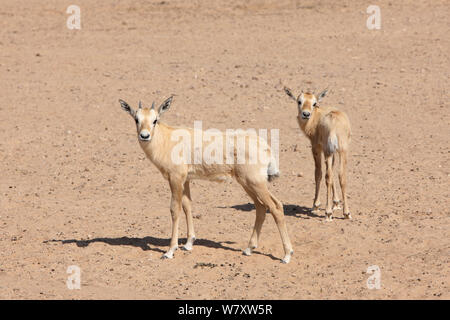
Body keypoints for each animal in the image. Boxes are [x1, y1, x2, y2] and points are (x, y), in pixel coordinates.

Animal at [118, 96, 294, 264]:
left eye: (155, 120)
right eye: (136, 119)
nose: (144, 136)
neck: (167, 139)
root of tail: (266, 147)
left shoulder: (175, 179)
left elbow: (175, 210)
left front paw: (170, 251)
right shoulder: (186, 180)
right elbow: (187, 206)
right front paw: (188, 244)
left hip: (256, 183)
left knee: (276, 207)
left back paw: (286, 255)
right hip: (247, 184)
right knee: (261, 208)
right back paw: (249, 249)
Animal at [284, 86, 352, 221]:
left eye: (314, 103)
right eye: (299, 101)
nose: (306, 114)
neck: (317, 116)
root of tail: (334, 124)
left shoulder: (316, 147)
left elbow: (318, 173)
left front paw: (316, 205)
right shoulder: (333, 152)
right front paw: (336, 203)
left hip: (327, 150)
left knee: (327, 176)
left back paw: (328, 212)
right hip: (342, 151)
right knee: (341, 175)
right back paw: (346, 213)